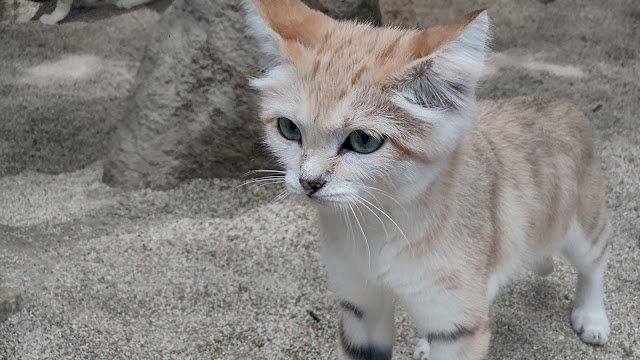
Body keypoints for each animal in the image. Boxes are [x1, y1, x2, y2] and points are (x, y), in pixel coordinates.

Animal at [244, 1, 608, 358]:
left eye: (363, 140)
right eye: (289, 129)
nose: (308, 182)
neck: (379, 226)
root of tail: (563, 103)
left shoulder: (457, 325)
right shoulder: (361, 309)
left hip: (582, 228)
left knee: (595, 260)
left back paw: (592, 315)